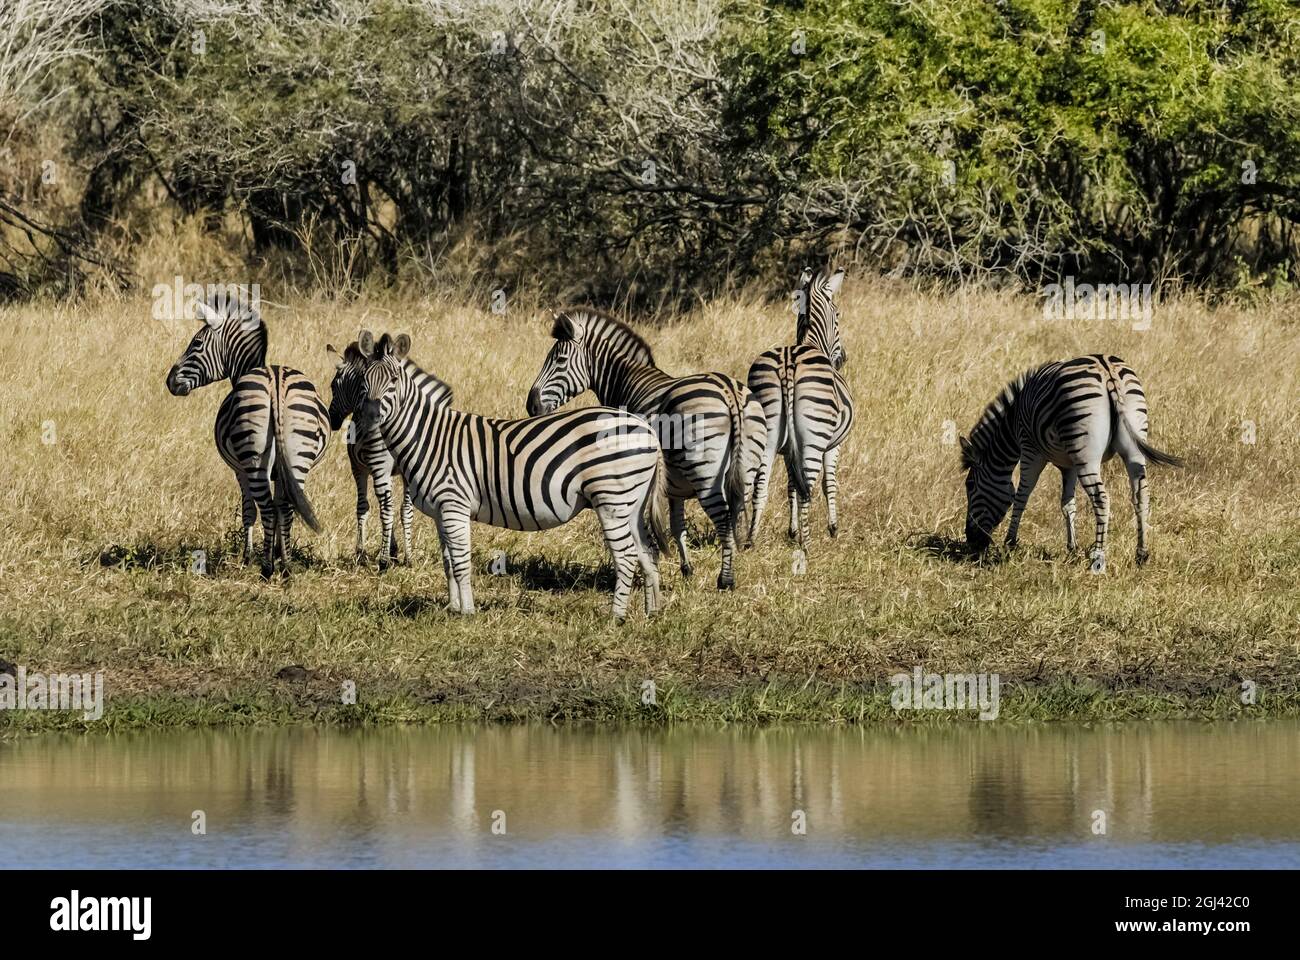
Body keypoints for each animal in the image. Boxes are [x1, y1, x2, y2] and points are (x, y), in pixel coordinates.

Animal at [165, 295, 330, 574]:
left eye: (196, 343)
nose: (169, 382)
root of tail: (276, 383)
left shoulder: (239, 470)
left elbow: (248, 511)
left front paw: (248, 556)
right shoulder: (281, 472)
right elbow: (281, 504)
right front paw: (278, 553)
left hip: (253, 459)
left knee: (266, 508)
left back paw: (266, 568)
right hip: (298, 456)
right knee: (285, 508)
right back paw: (286, 567)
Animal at [345, 327, 670, 613]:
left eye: (393, 380)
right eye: (363, 380)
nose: (370, 417)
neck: (428, 436)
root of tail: (647, 430)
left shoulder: (453, 505)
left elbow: (461, 563)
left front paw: (467, 612)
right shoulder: (440, 512)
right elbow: (448, 562)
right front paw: (452, 608)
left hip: (611, 498)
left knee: (626, 556)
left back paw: (616, 617)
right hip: (631, 502)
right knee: (646, 551)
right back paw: (651, 612)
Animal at [527, 310, 764, 587]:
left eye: (560, 360)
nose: (531, 405)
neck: (626, 380)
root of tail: (729, 390)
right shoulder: (673, 481)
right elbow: (677, 525)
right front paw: (686, 569)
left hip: (705, 473)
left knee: (724, 520)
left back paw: (725, 580)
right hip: (745, 468)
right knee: (737, 514)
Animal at [748, 265, 857, 548]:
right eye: (837, 316)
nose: (842, 359)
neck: (812, 342)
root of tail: (788, 362)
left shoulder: (788, 449)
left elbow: (790, 485)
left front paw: (792, 530)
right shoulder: (835, 444)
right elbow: (829, 483)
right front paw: (832, 528)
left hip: (767, 432)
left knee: (760, 484)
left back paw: (750, 540)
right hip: (814, 437)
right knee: (808, 485)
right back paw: (806, 544)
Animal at [961, 353, 1185, 567]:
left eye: (970, 485)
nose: (971, 540)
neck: (1012, 425)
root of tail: (1108, 371)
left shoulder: (1030, 449)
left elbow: (1022, 495)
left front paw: (1010, 543)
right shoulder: (1069, 465)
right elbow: (1067, 504)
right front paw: (1072, 548)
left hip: (1085, 451)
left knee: (1101, 499)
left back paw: (1098, 555)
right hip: (1132, 446)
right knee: (1141, 495)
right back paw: (1141, 553)